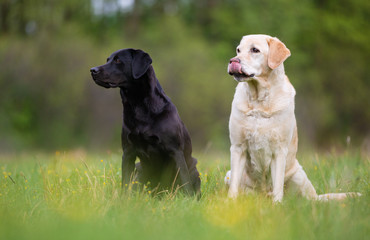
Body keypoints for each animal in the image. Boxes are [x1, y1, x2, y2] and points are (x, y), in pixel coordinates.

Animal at [90, 47, 201, 196]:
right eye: (107, 60)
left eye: (118, 60)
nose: (93, 70)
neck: (138, 106)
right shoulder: (128, 152)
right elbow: (125, 182)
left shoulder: (175, 151)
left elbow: (185, 181)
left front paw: (188, 199)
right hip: (139, 169)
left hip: (194, 169)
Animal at [224, 34, 360, 202]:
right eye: (238, 50)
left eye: (255, 50)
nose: (233, 61)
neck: (259, 101)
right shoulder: (238, 147)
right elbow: (234, 186)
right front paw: (230, 203)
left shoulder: (279, 150)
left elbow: (277, 185)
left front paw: (276, 204)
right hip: (228, 175)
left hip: (299, 176)